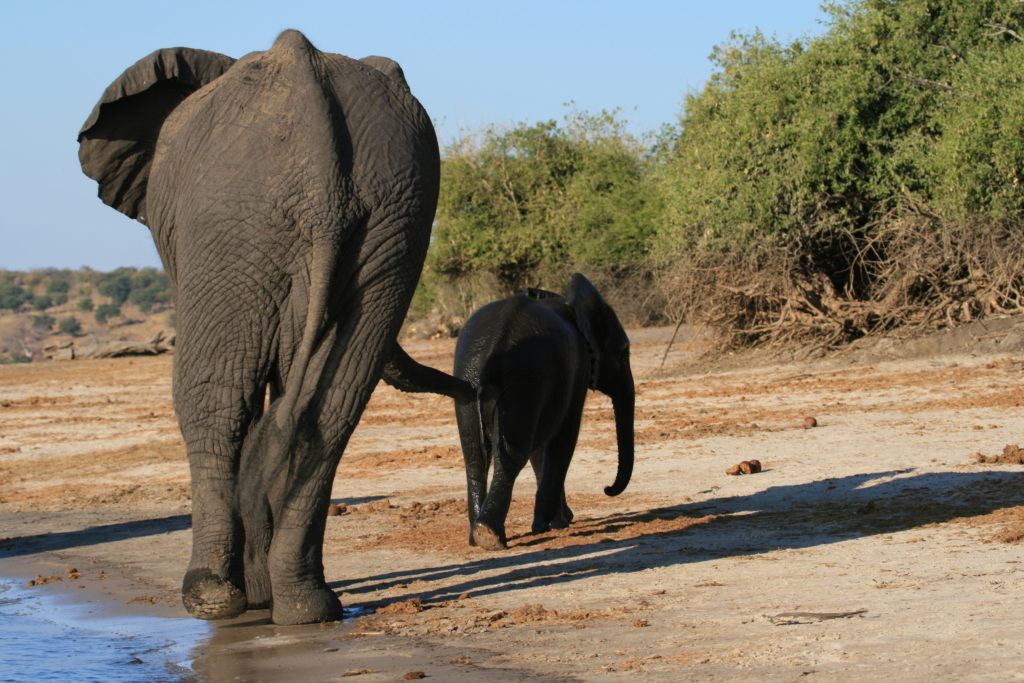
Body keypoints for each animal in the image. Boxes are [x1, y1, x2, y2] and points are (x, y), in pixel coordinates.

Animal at [77, 30, 473, 625]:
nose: (473, 388)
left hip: (232, 220)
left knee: (215, 396)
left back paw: (214, 598)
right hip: (395, 216)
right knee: (335, 405)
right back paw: (305, 608)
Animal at [452, 273, 635, 550]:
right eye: (624, 354)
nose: (606, 488)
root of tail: (492, 345)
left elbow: (541, 446)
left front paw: (554, 521)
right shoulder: (579, 367)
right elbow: (564, 437)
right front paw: (553, 523)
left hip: (467, 381)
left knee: (475, 455)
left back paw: (476, 537)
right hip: (524, 379)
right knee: (511, 456)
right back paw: (490, 536)